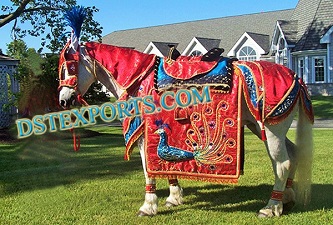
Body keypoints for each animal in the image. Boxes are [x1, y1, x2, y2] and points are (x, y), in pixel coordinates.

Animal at [57, 7, 314, 218]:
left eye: (69, 67)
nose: (63, 99)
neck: (138, 78)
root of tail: (296, 77)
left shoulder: (143, 135)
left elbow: (148, 169)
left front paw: (148, 206)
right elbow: (165, 164)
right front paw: (173, 197)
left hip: (271, 129)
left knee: (282, 163)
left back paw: (271, 207)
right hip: (263, 126)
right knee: (293, 155)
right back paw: (286, 198)